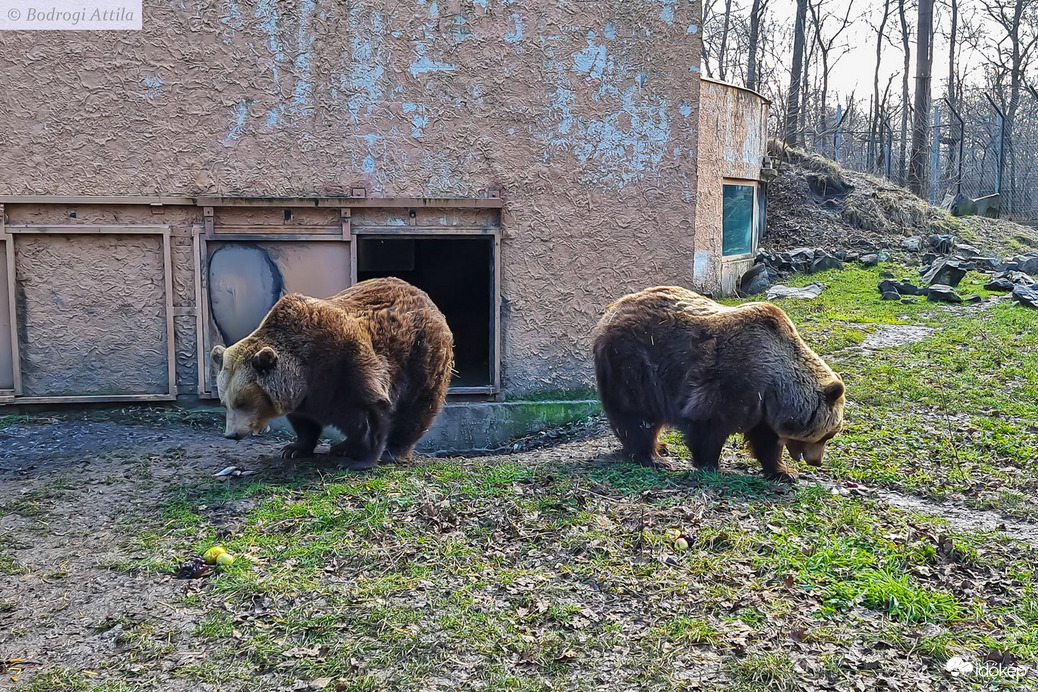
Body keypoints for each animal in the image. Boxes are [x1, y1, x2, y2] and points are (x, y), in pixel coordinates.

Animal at [210, 278, 454, 471]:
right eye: (224, 402)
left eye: (241, 401)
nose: (231, 434)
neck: (306, 371)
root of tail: (423, 295)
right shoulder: (306, 396)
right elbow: (304, 422)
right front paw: (293, 448)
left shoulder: (347, 367)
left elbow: (373, 412)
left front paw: (360, 460)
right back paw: (342, 446)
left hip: (421, 354)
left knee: (415, 408)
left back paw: (392, 452)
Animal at [593, 286, 842, 481]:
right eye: (827, 435)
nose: (817, 461)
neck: (777, 386)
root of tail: (611, 311)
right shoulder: (735, 379)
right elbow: (708, 421)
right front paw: (712, 465)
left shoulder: (762, 407)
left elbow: (766, 441)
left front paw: (784, 471)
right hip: (634, 365)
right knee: (636, 416)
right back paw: (653, 457)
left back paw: (661, 446)